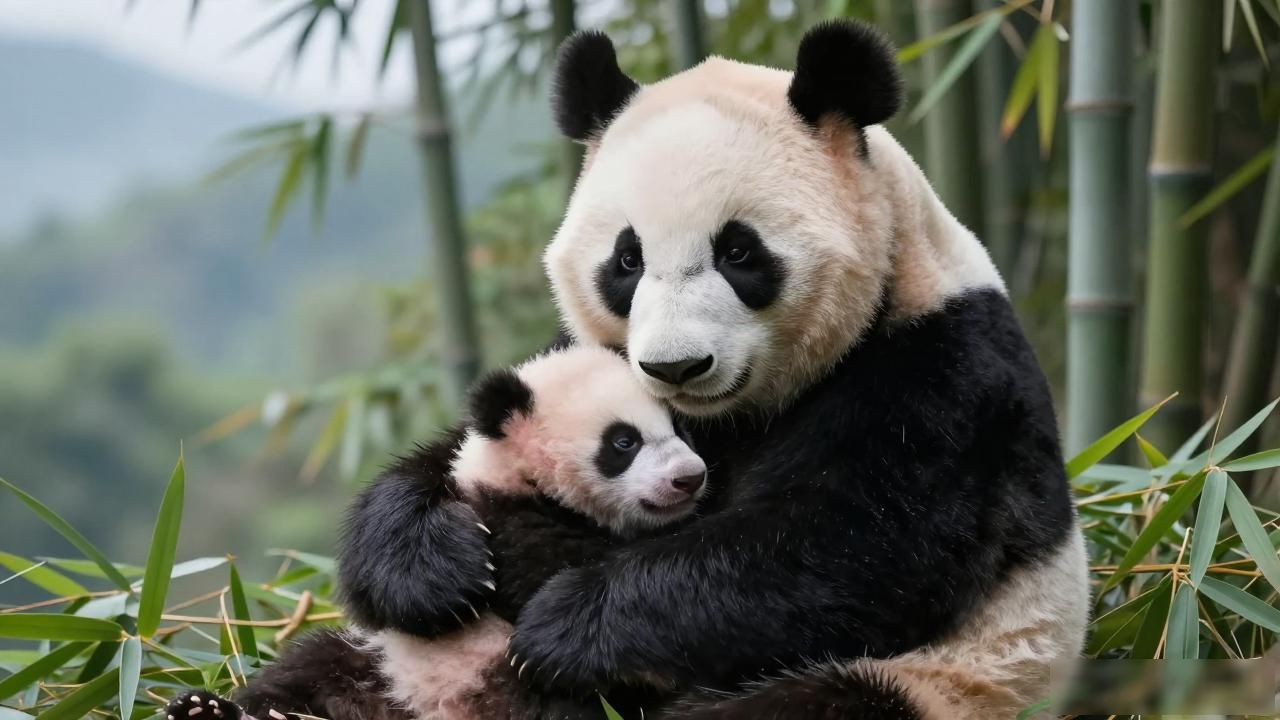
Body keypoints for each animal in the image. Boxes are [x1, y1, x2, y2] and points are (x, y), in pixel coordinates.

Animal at [165, 346, 705, 720]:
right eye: (624, 441)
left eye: (682, 428)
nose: (690, 477)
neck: (516, 476)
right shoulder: (501, 513)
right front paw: (452, 582)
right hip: (378, 666)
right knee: (303, 673)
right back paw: (206, 712)